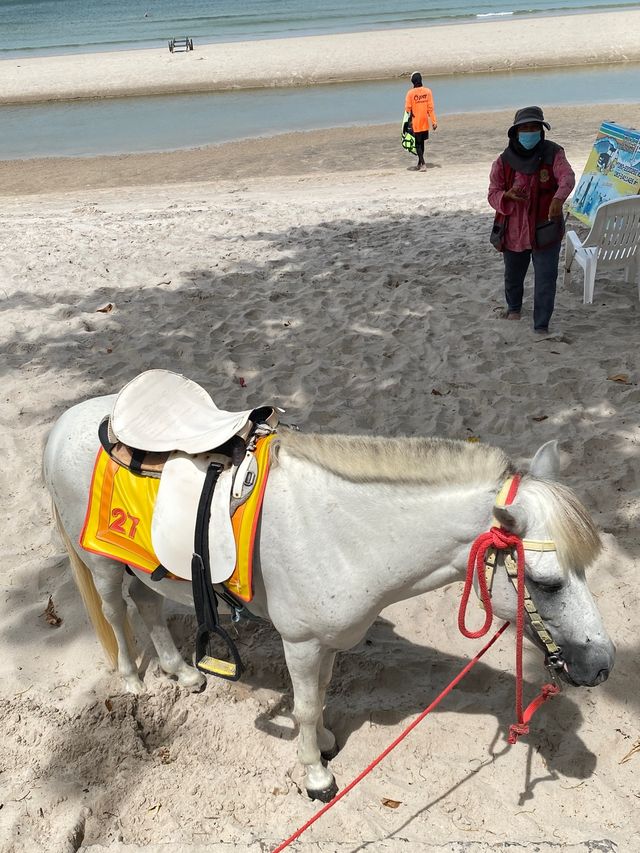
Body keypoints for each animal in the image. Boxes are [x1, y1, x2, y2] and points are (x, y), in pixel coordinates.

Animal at [45, 396, 616, 804]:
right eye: (546, 583)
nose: (603, 665)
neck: (338, 528)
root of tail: (66, 421)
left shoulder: (328, 640)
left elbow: (319, 696)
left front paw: (321, 744)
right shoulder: (299, 641)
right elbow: (302, 705)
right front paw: (316, 776)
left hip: (142, 563)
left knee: (148, 605)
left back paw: (180, 672)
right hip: (101, 563)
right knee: (116, 611)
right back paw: (132, 680)